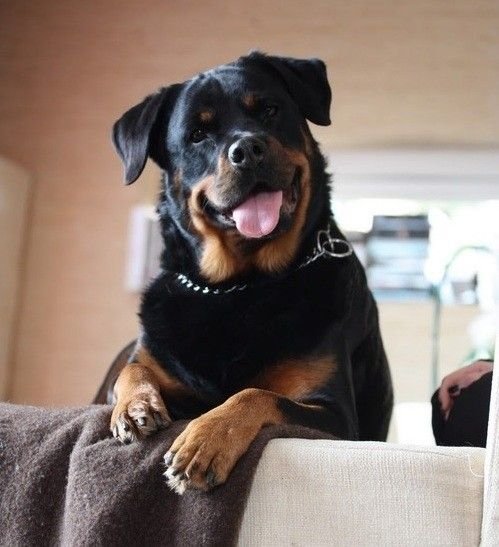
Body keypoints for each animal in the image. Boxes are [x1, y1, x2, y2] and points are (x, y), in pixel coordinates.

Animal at [101, 52, 394, 496]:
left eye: (270, 110)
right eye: (197, 134)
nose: (248, 149)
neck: (240, 287)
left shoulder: (336, 416)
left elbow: (255, 394)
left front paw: (206, 440)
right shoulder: (157, 362)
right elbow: (133, 369)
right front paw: (135, 406)